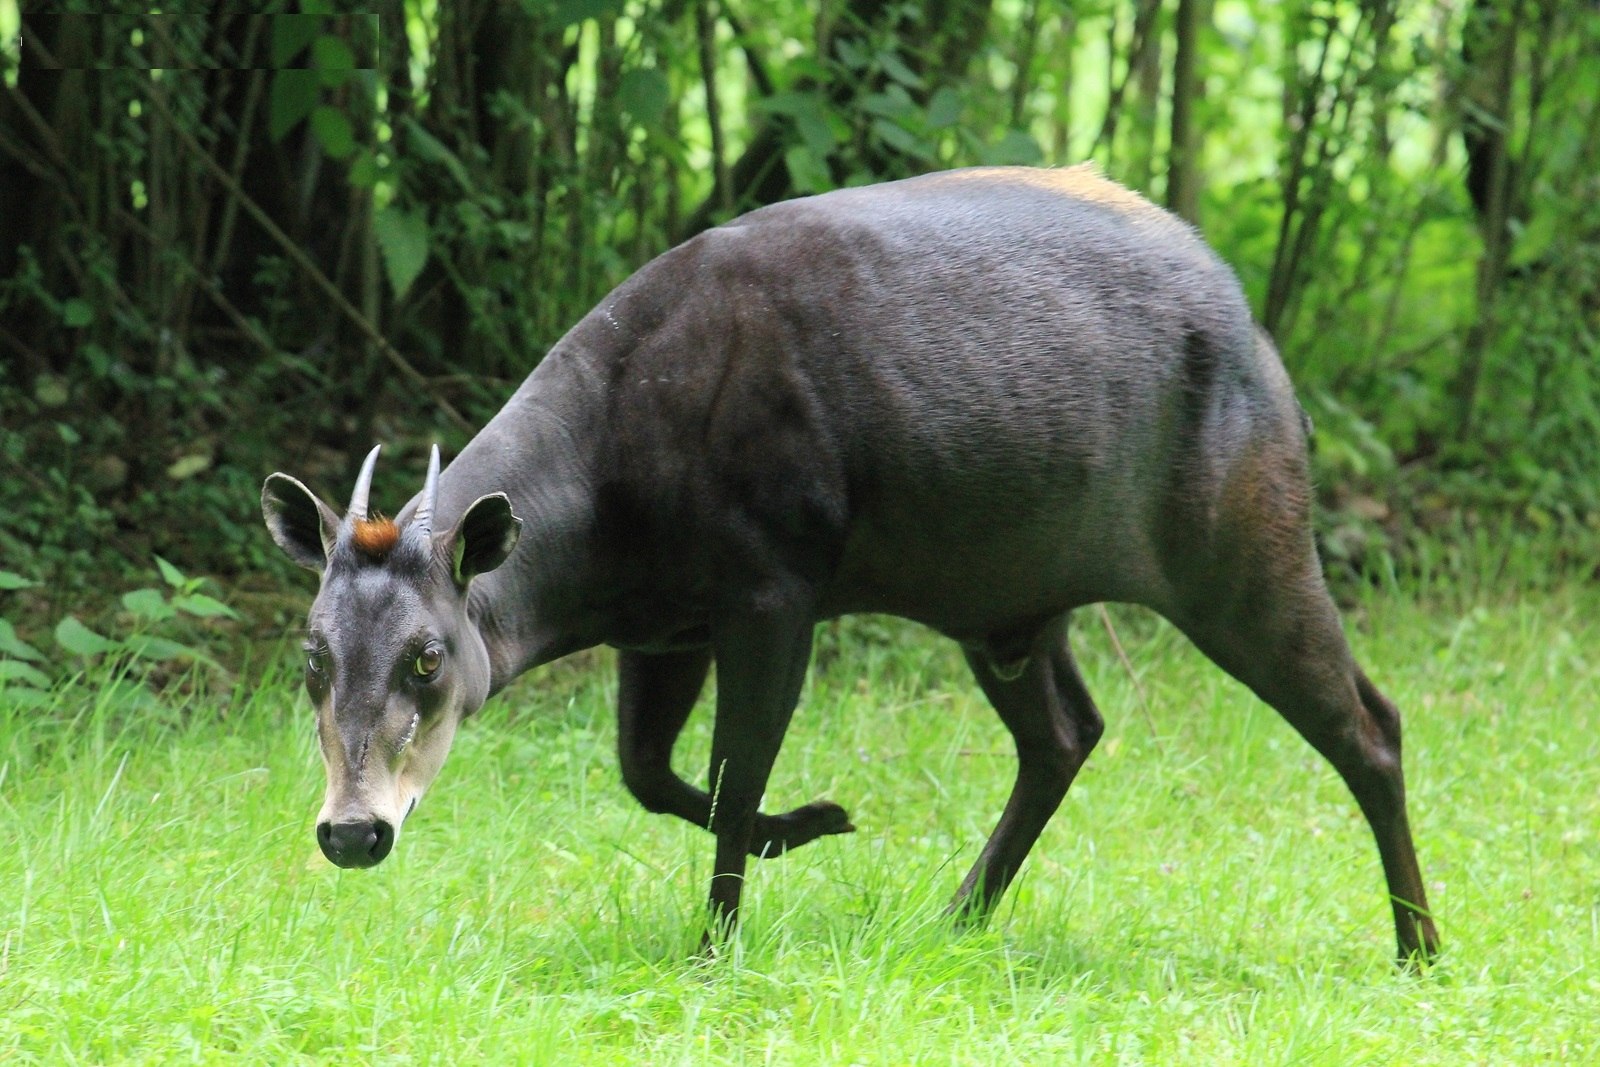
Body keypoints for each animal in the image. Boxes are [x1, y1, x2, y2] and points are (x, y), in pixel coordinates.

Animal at [262, 163, 1440, 966]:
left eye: (426, 655)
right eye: (311, 656)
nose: (352, 831)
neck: (609, 478)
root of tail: (1259, 341)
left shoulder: (775, 590)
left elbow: (732, 776)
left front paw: (720, 940)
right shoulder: (666, 623)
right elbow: (650, 773)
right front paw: (813, 826)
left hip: (1239, 546)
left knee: (1369, 722)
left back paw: (1419, 947)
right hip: (1007, 602)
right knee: (1064, 734)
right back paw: (956, 916)